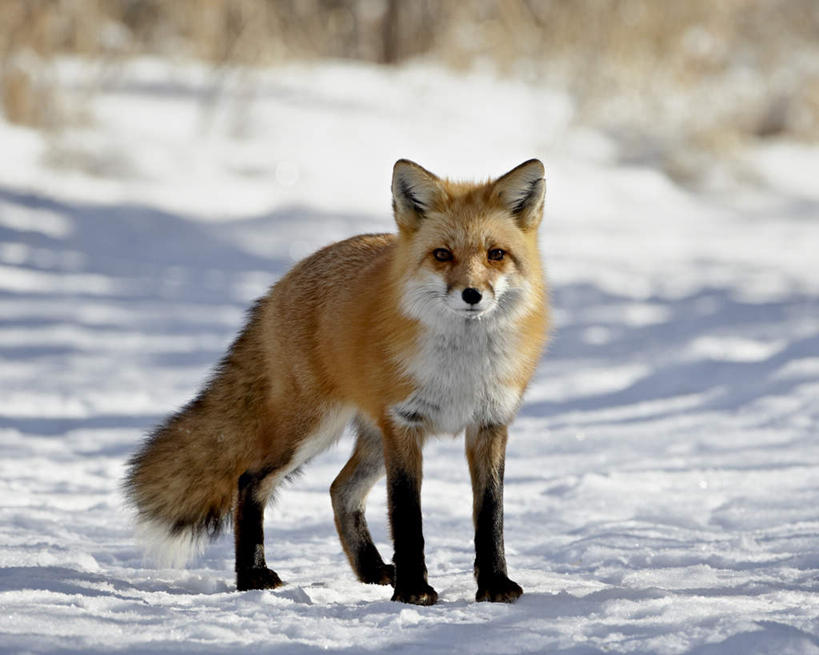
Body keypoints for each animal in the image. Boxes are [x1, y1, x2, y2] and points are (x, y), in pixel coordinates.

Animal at [125, 158, 552, 604]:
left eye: (496, 254)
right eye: (442, 255)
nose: (472, 294)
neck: (461, 369)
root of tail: (284, 281)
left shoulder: (490, 425)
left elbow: (490, 515)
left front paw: (495, 584)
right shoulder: (404, 424)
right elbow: (407, 516)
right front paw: (413, 590)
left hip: (370, 438)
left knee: (339, 490)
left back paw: (371, 569)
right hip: (311, 429)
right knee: (250, 480)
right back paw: (252, 575)